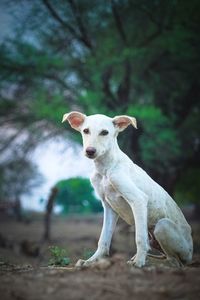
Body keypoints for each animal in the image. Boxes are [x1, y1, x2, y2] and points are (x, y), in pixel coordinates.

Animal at [62, 110, 192, 268]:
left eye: (104, 132)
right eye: (86, 131)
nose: (90, 151)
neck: (106, 168)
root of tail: (191, 252)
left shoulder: (138, 200)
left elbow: (139, 238)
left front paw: (139, 262)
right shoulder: (109, 207)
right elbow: (103, 240)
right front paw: (91, 261)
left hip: (163, 226)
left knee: (174, 261)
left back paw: (145, 261)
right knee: (162, 254)